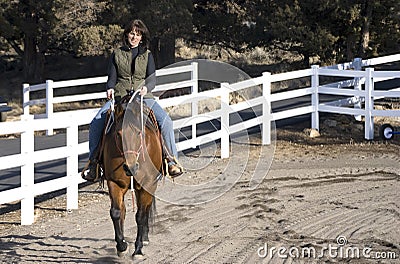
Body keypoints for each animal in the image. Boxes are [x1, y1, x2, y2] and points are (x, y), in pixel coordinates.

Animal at [102, 94, 163, 258]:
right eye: (118, 134)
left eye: (138, 133)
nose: (130, 167)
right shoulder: (114, 183)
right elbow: (116, 212)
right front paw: (122, 246)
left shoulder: (147, 184)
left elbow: (140, 216)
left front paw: (138, 249)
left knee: (146, 210)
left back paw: (145, 238)